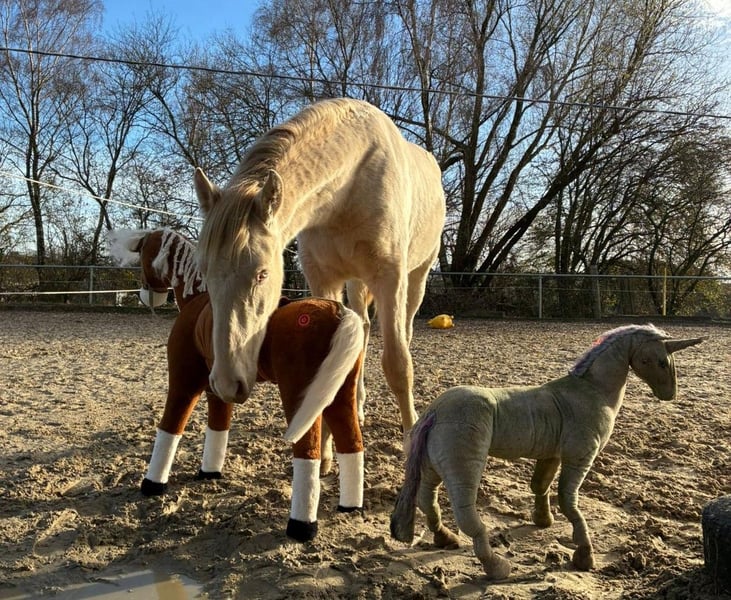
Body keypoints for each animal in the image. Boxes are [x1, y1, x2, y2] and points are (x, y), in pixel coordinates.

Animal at [107, 228, 366, 541]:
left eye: (144, 255)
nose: (146, 296)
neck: (199, 300)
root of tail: (341, 314)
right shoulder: (218, 387)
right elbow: (218, 426)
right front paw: (209, 472)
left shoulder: (184, 382)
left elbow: (170, 428)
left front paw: (153, 484)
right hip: (341, 395)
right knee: (351, 443)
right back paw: (349, 507)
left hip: (300, 399)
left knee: (308, 453)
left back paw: (301, 526)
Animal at [193, 98, 446, 457]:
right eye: (204, 272)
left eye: (262, 274)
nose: (227, 385)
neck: (351, 180)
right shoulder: (324, 280)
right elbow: (331, 362)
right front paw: (325, 450)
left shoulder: (389, 278)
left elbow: (398, 364)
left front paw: (410, 437)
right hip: (356, 282)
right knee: (362, 332)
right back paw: (358, 408)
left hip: (416, 277)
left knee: (405, 332)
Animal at [389, 324, 704, 579]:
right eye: (660, 361)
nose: (670, 395)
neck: (592, 392)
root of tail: (436, 411)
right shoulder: (580, 457)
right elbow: (569, 500)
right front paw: (584, 555)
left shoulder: (551, 455)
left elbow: (540, 486)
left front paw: (544, 521)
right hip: (464, 469)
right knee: (468, 518)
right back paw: (497, 567)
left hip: (432, 467)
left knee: (426, 499)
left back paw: (445, 538)